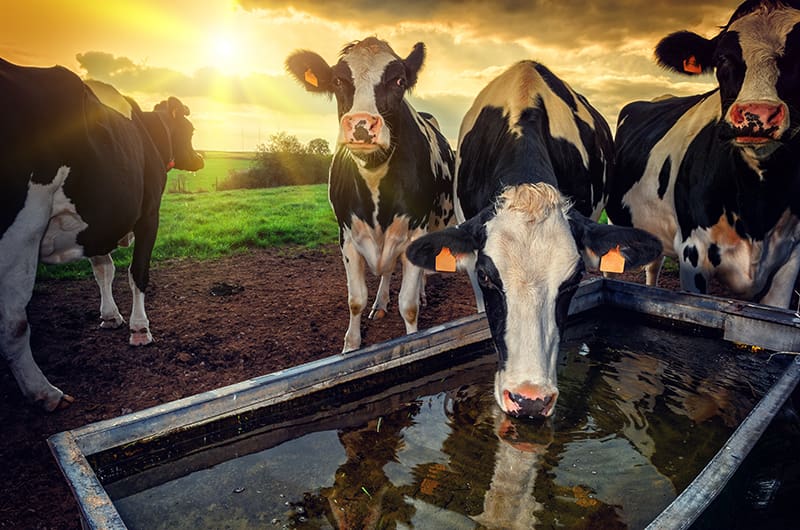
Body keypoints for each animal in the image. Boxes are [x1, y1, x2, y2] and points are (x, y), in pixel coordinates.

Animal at [0, 58, 203, 411]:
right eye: (190, 131)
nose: (201, 158)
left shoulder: (97, 222)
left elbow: (103, 270)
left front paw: (110, 316)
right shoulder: (149, 213)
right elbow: (138, 273)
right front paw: (139, 329)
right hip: (22, 229)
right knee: (14, 322)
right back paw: (46, 393)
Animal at [286, 37, 455, 352]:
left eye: (399, 81)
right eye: (338, 81)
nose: (362, 124)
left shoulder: (415, 232)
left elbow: (408, 305)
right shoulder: (347, 236)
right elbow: (356, 300)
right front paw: (351, 346)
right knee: (386, 272)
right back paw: (380, 303)